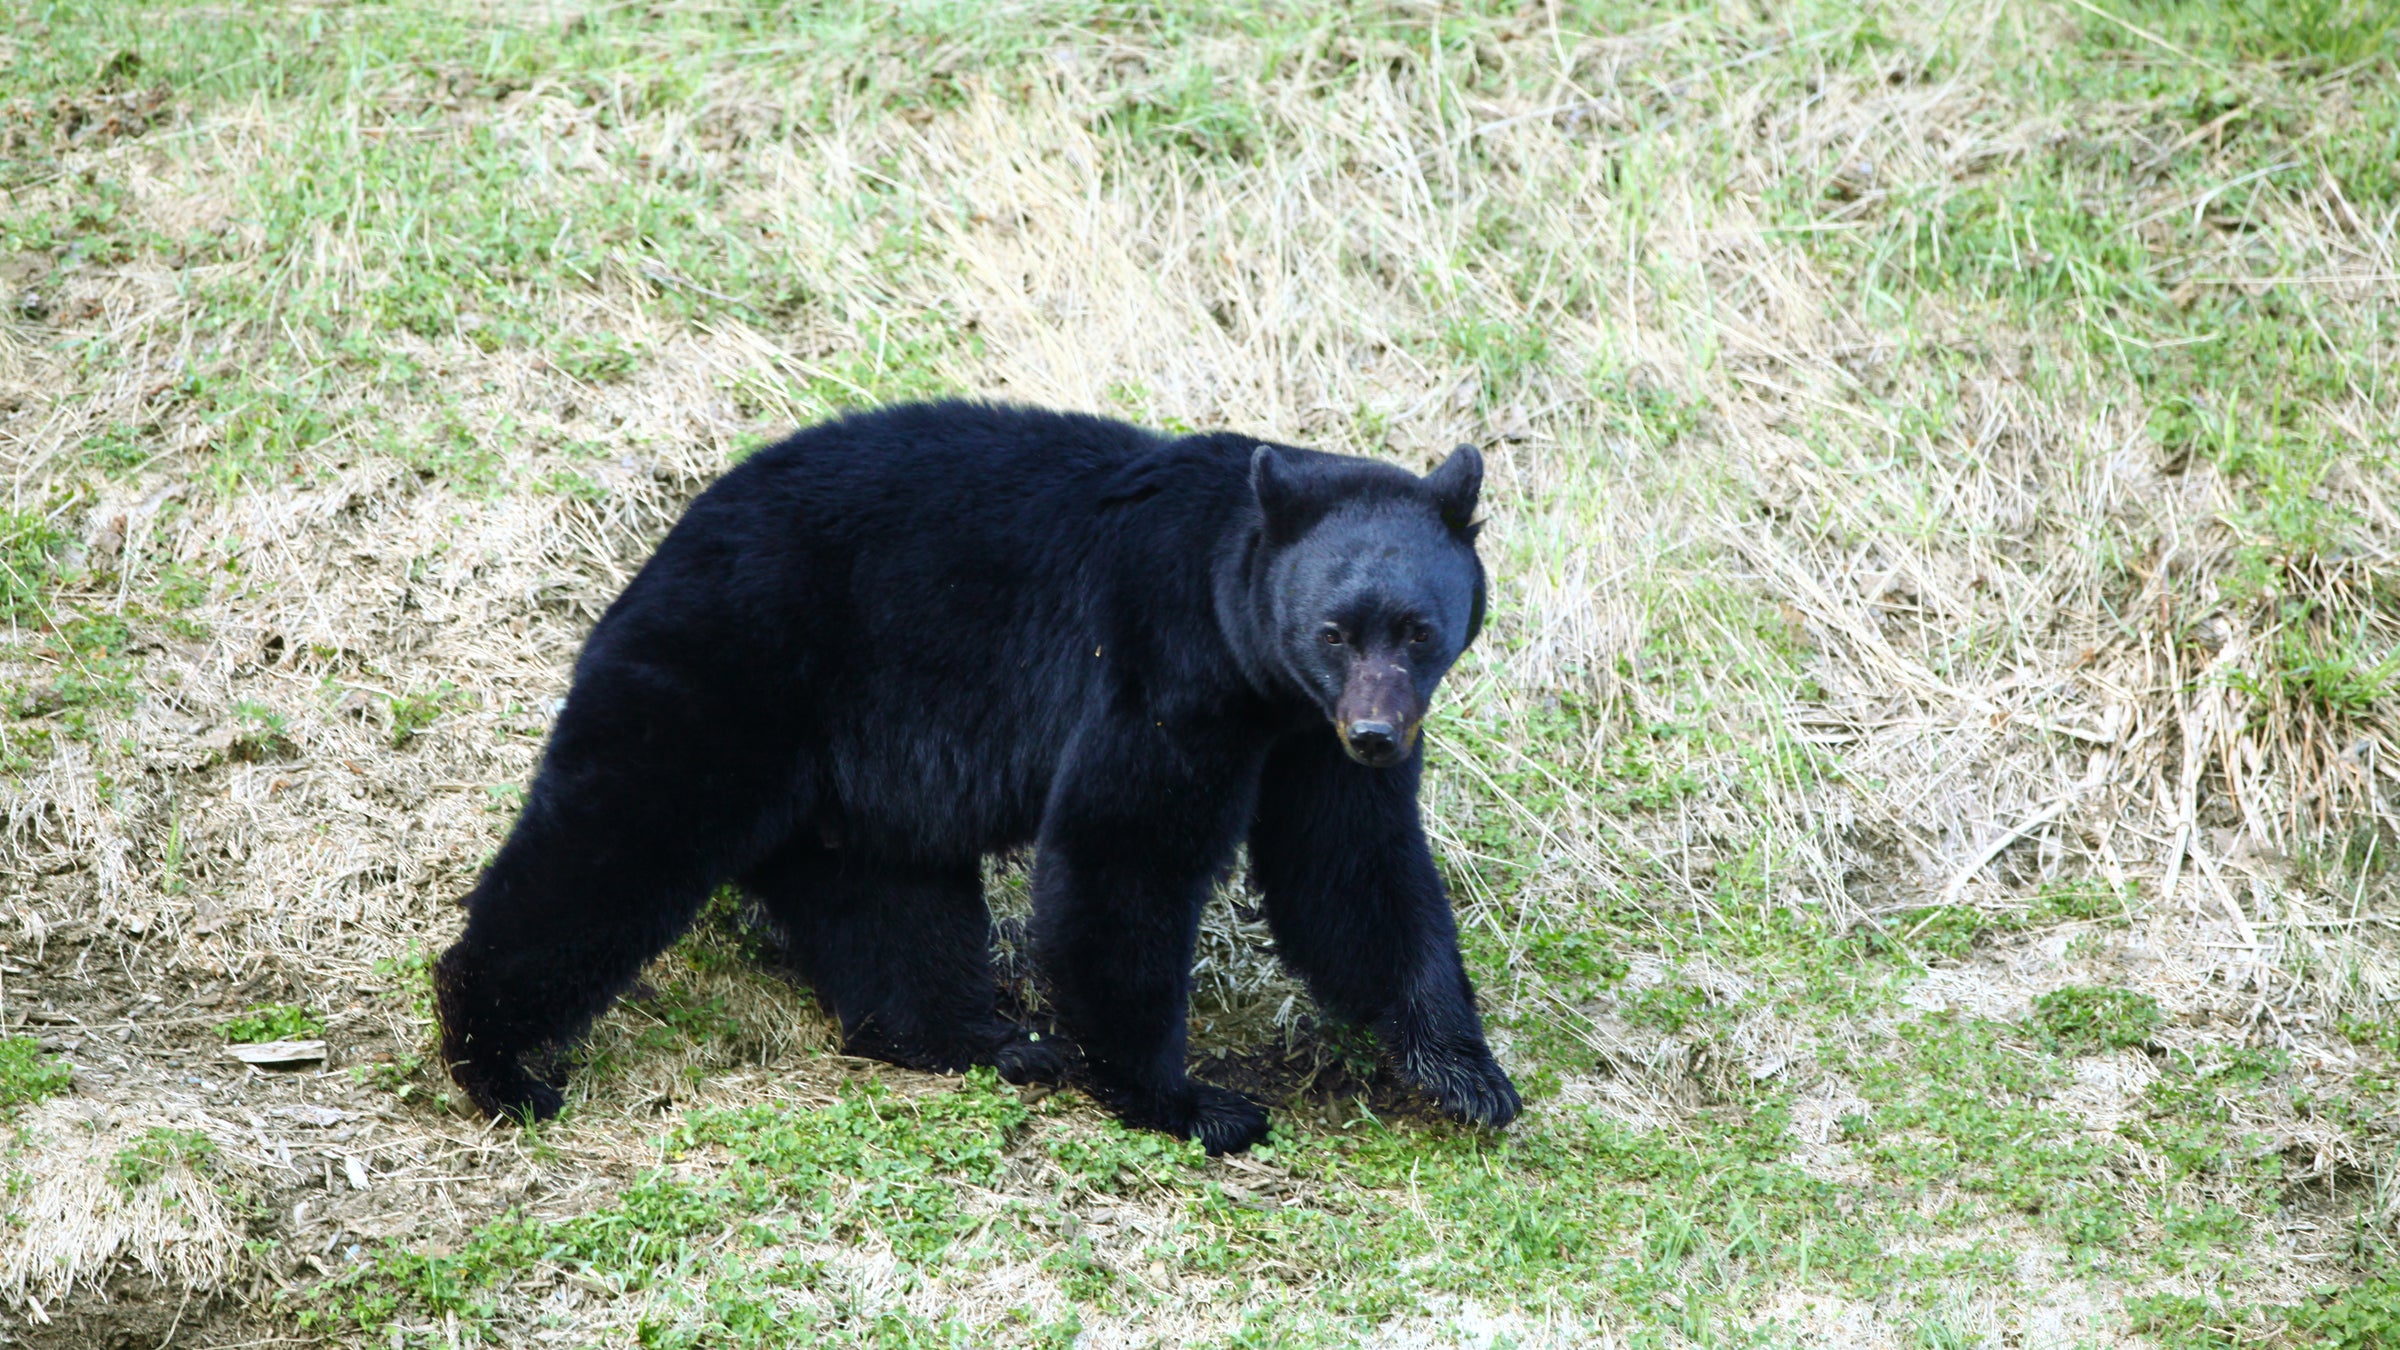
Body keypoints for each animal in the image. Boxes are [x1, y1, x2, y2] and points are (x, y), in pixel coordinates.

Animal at [433, 400, 1519, 1154]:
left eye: (1419, 630)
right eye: (1334, 630)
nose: (1375, 731)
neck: (1248, 646)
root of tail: (665, 546)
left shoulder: (1303, 739)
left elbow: (1349, 871)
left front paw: (1468, 1076)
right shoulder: (1163, 666)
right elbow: (1123, 853)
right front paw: (1187, 1100)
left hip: (855, 776)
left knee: (888, 905)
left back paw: (983, 1039)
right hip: (734, 672)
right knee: (614, 841)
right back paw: (497, 1057)